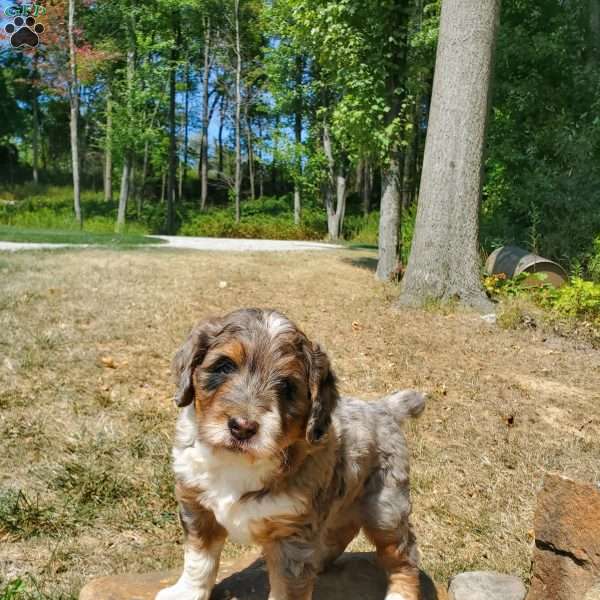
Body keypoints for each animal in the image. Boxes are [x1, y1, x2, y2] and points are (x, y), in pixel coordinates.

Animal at [157, 310, 424, 600]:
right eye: (224, 367)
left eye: (287, 386)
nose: (242, 427)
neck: (237, 463)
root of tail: (383, 407)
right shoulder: (197, 506)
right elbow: (199, 559)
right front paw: (185, 593)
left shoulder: (291, 535)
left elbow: (288, 588)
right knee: (342, 531)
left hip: (385, 508)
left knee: (404, 555)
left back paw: (399, 593)